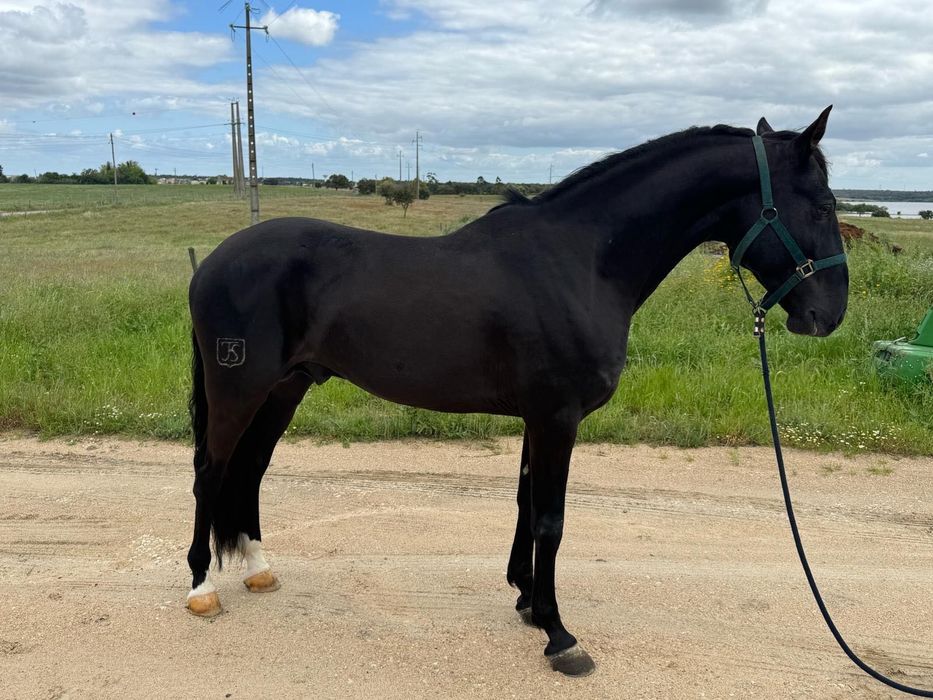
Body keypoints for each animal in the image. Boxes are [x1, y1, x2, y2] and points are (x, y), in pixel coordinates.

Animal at [185, 107, 848, 677]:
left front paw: (528, 602)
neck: (580, 261)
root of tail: (211, 263)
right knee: (211, 473)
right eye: (820, 205)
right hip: (240, 389)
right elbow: (550, 520)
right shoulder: (557, 417)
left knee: (250, 470)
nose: (828, 314)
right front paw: (560, 636)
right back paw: (200, 587)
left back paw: (258, 569)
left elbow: (526, 507)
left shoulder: (539, 418)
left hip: (284, 390)